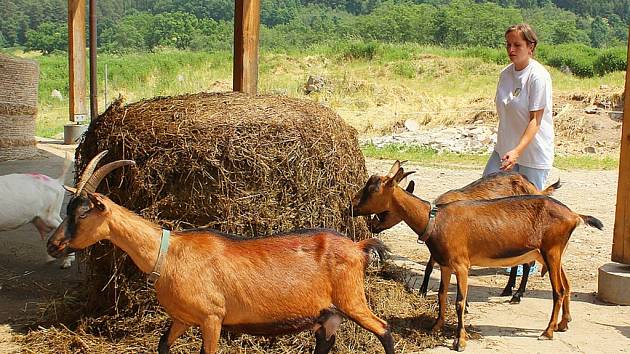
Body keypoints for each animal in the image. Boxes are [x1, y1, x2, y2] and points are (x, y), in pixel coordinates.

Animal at [48, 152, 396, 354]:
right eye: (68, 209)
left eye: (82, 213)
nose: (54, 245)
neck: (168, 253)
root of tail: (358, 247)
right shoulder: (182, 318)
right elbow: (162, 346)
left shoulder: (211, 318)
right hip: (328, 315)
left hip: (351, 299)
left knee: (384, 329)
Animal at [366, 169, 564, 304]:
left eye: (385, 211)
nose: (372, 226)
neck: (434, 212)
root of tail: (534, 188)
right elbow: (429, 266)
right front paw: (422, 291)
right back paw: (508, 289)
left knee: (527, 262)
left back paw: (517, 294)